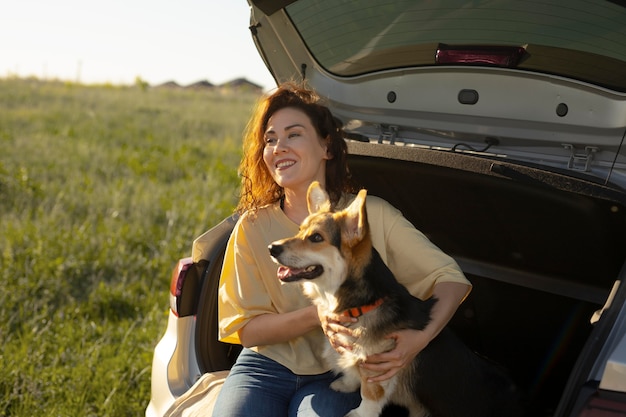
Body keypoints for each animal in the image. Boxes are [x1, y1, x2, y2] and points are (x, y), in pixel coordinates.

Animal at [266, 181, 520, 416]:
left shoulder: (377, 371)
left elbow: (369, 397)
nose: (272, 248)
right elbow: (352, 374)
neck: (363, 304)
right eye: (300, 230)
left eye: (316, 237)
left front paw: (357, 413)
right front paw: (344, 385)